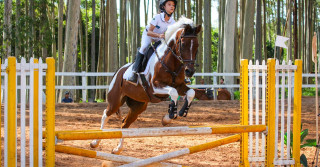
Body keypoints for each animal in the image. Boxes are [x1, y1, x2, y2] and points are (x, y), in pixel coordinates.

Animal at [89, 17, 212, 154]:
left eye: (197, 45)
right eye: (183, 44)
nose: (189, 71)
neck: (171, 63)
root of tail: (118, 72)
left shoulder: (180, 86)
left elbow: (191, 93)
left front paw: (178, 113)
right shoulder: (155, 87)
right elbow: (173, 92)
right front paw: (169, 116)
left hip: (138, 106)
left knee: (124, 124)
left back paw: (117, 149)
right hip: (115, 100)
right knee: (106, 114)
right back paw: (95, 142)